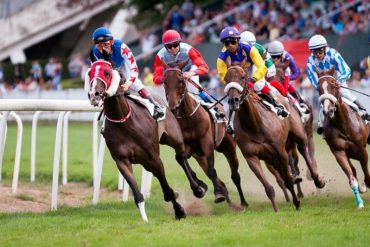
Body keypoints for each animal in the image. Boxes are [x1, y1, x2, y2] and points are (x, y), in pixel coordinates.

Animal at [87, 54, 208, 220]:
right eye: (89, 73)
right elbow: (138, 194)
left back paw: (197, 187)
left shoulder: (154, 157)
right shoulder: (122, 161)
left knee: (181, 157)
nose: (94, 95)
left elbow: (167, 190)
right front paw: (145, 219)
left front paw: (179, 211)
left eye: (106, 72)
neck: (124, 122)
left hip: (174, 139)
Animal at [163, 60, 247, 208]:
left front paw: (217, 193)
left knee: (235, 175)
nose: (174, 107)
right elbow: (181, 159)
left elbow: (212, 170)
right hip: (199, 155)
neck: (188, 118)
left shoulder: (206, 142)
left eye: (181, 80)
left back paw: (241, 202)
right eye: (164, 82)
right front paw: (199, 187)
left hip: (228, 147)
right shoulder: (186, 146)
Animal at [223, 64, 324, 211]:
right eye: (226, 79)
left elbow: (288, 180)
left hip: (299, 135)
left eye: (243, 77)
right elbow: (269, 187)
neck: (254, 125)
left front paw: (297, 203)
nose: (233, 101)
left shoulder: (280, 152)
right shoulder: (252, 157)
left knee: (304, 152)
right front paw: (276, 209)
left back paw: (316, 180)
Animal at [316, 67, 370, 208]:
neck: (343, 125)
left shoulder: (362, 150)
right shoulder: (338, 151)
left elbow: (367, 175)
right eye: (318, 88)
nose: (328, 110)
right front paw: (359, 202)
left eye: (334, 85)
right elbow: (352, 177)